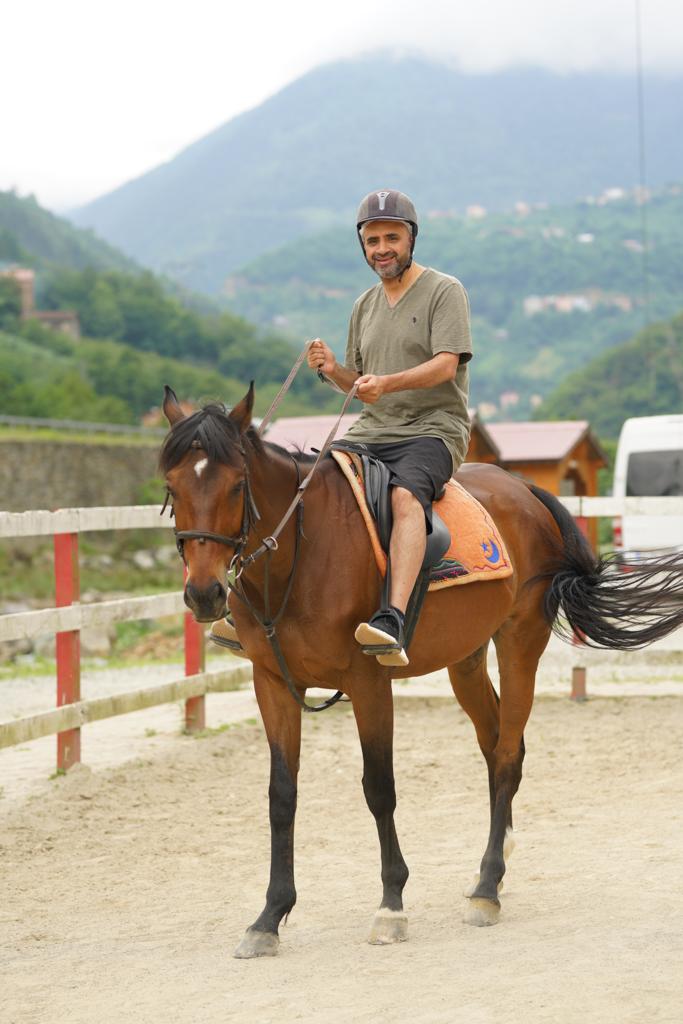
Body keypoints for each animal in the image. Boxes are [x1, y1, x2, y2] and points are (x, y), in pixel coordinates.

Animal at [159, 384, 683, 958]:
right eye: (172, 486)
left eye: (236, 485)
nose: (204, 593)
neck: (305, 548)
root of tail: (523, 488)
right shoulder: (271, 683)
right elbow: (282, 796)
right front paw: (269, 917)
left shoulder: (367, 684)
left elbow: (379, 788)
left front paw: (391, 905)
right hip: (467, 660)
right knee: (499, 747)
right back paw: (494, 869)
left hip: (521, 642)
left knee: (506, 756)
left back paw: (486, 889)